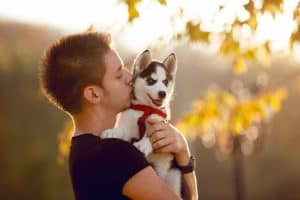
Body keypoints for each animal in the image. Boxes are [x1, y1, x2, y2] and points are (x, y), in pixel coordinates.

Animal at [101, 49, 182, 198]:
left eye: (165, 81)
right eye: (151, 80)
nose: (162, 93)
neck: (146, 109)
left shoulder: (159, 124)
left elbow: (150, 135)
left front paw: (143, 144)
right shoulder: (128, 122)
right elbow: (121, 130)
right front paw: (112, 131)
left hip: (174, 175)